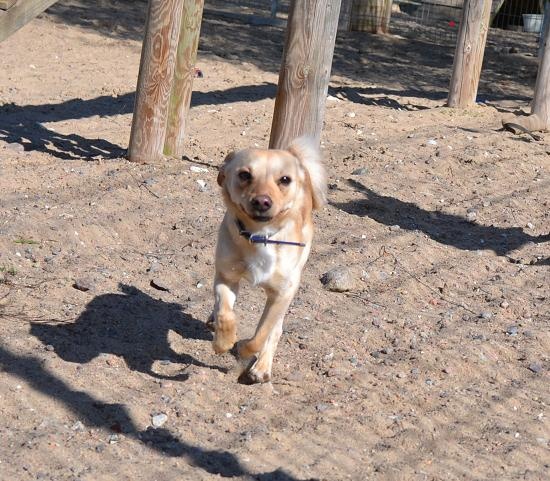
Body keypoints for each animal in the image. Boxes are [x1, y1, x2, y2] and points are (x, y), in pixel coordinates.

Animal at [211, 136, 326, 384]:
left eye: (285, 179)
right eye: (245, 175)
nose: (262, 201)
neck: (260, 235)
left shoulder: (282, 294)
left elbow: (261, 335)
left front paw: (244, 349)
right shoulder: (226, 276)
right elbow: (225, 313)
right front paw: (223, 342)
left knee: (275, 330)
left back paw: (261, 368)